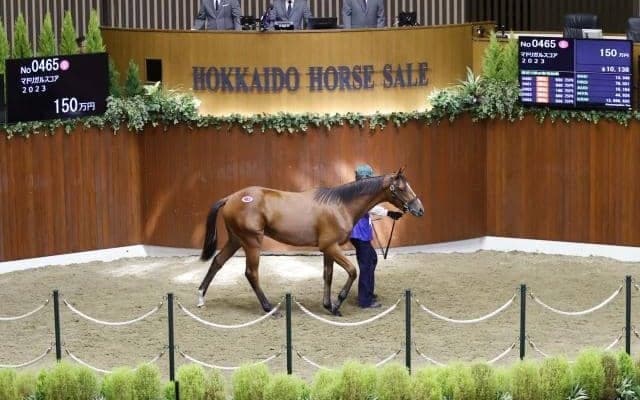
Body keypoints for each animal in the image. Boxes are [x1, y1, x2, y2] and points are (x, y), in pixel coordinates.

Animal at [197, 168, 424, 316]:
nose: (419, 209)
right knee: (251, 273)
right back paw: (269, 308)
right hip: (252, 242)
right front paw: (338, 303)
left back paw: (200, 298)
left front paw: (328, 306)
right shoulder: (331, 247)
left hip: (236, 240)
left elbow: (328, 275)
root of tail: (231, 198)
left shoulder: (328, 250)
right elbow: (353, 271)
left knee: (217, 262)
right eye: (401, 188)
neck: (340, 205)